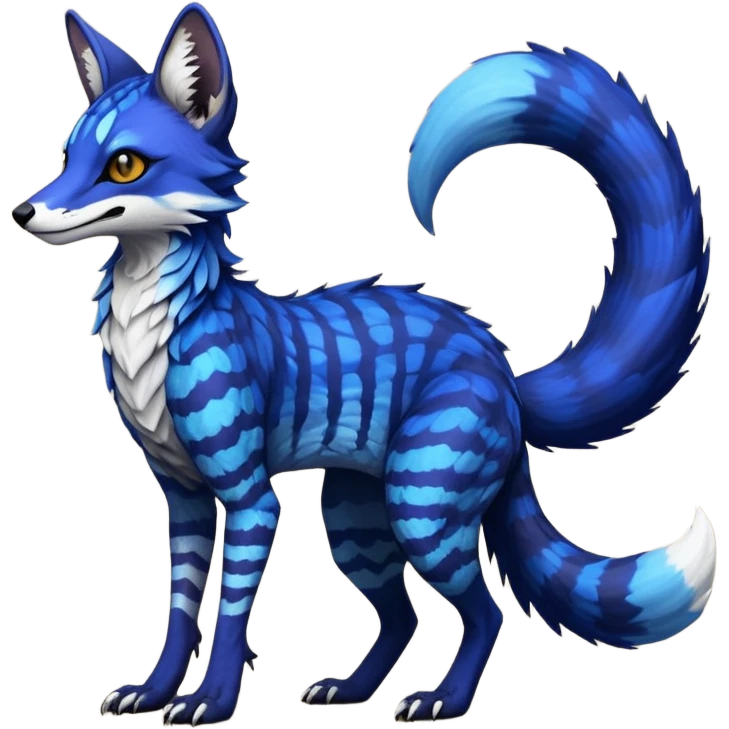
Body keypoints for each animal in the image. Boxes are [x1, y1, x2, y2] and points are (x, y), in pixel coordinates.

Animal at [12, 5, 716, 727]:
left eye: (124, 164)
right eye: (68, 157)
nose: (23, 211)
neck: (152, 330)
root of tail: (501, 366)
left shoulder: (249, 498)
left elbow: (230, 615)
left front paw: (210, 701)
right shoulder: (180, 497)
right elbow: (180, 613)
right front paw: (153, 695)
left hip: (422, 506)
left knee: (486, 613)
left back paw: (442, 700)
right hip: (356, 521)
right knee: (404, 617)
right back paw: (351, 691)